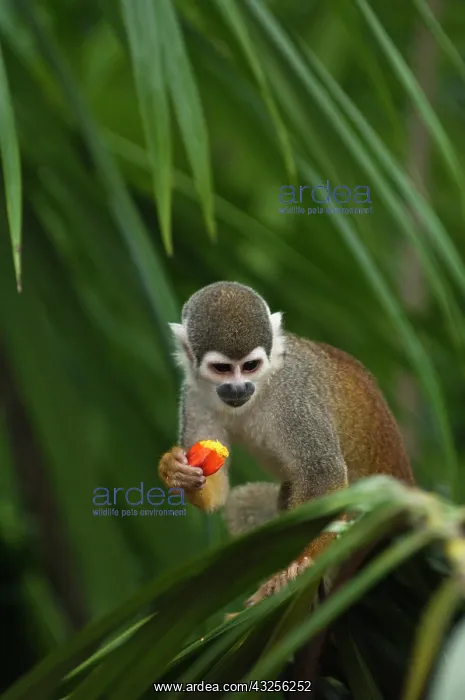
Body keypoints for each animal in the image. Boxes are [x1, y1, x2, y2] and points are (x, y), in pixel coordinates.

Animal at [158, 281, 415, 606]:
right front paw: (175, 471)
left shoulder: (293, 396)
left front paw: (295, 564)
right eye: (222, 369)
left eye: (250, 366)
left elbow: (324, 473)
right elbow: (217, 489)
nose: (238, 388)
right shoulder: (193, 395)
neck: (263, 385)